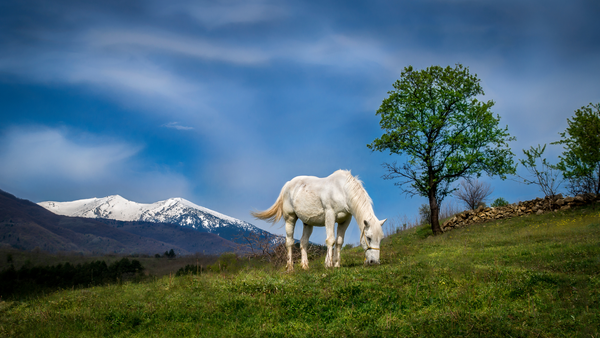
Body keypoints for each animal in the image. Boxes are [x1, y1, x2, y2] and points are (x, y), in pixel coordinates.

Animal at [251, 170, 386, 270]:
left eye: (380, 239)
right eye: (368, 237)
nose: (374, 262)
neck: (342, 190)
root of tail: (288, 184)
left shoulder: (345, 220)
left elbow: (339, 242)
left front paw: (337, 264)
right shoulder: (330, 215)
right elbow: (330, 240)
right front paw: (329, 265)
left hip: (307, 223)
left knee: (303, 242)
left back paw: (305, 266)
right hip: (290, 218)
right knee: (289, 242)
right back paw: (290, 268)